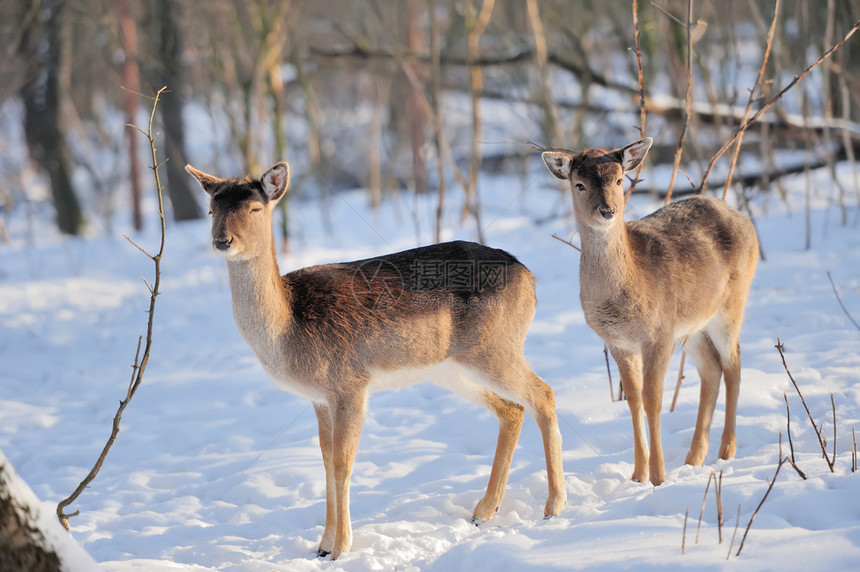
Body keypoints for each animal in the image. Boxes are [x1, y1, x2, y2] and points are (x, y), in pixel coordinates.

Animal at [185, 160, 568, 560]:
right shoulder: (319, 399)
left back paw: (554, 505)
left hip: (493, 347)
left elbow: (342, 462)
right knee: (512, 408)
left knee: (543, 394)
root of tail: (531, 278)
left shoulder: (350, 385)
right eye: (211, 210)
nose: (223, 241)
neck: (288, 327)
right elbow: (325, 460)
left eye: (255, 208)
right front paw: (321, 545)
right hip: (452, 368)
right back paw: (483, 510)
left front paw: (341, 548)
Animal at [544, 139, 760, 488]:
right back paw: (693, 458)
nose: (608, 211)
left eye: (620, 179)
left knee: (734, 364)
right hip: (691, 325)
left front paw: (658, 477)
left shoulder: (658, 332)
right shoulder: (617, 341)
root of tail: (744, 219)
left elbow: (653, 398)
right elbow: (632, 399)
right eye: (579, 184)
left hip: (731, 303)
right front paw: (637, 474)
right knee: (712, 369)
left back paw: (726, 451)